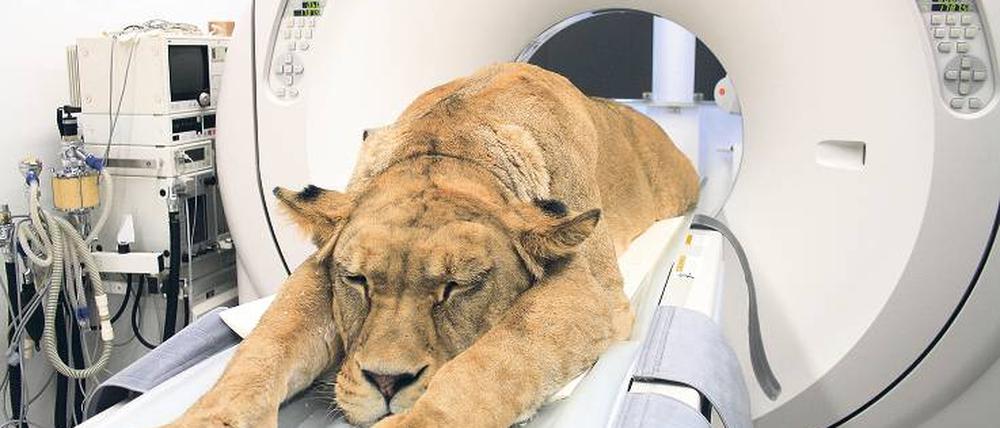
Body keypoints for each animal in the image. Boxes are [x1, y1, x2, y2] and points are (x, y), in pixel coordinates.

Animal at [168, 62, 698, 428]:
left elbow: (494, 360)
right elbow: (264, 348)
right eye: (357, 280)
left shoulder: (590, 290)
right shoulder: (321, 267)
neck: (449, 144)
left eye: (457, 287)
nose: (386, 382)